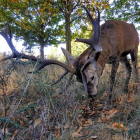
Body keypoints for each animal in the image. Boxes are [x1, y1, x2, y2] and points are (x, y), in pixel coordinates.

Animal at [0, 4, 139, 106]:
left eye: (92, 77)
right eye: (79, 80)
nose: (91, 95)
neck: (108, 45)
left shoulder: (116, 56)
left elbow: (111, 79)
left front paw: (109, 101)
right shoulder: (115, 57)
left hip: (134, 49)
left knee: (135, 68)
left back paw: (135, 86)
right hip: (124, 56)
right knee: (129, 68)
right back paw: (126, 89)